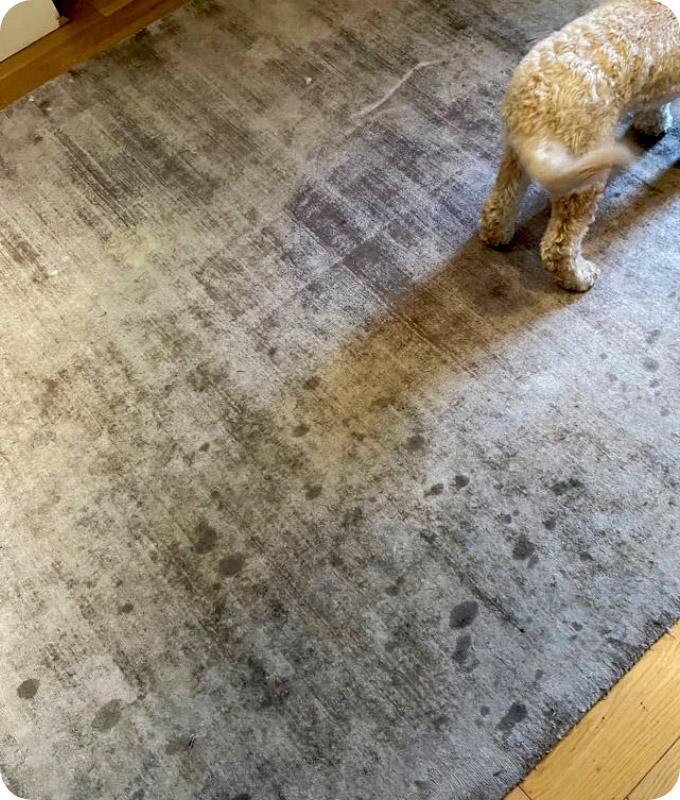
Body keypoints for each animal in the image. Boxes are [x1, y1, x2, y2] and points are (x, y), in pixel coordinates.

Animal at [478, 0, 680, 290]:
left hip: (517, 156)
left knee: (499, 203)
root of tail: (538, 97)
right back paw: (579, 277)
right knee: (559, 247)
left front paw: (652, 124)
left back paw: (497, 235)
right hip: (584, 177)